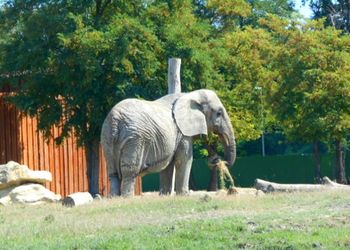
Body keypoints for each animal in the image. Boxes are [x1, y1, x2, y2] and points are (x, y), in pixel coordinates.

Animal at [102, 89, 238, 196]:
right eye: (219, 113)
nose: (219, 160)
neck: (189, 95)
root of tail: (115, 119)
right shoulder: (182, 133)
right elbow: (184, 159)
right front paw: (184, 196)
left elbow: (168, 164)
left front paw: (164, 195)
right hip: (134, 139)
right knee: (129, 171)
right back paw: (127, 198)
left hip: (107, 137)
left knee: (112, 172)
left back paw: (115, 198)